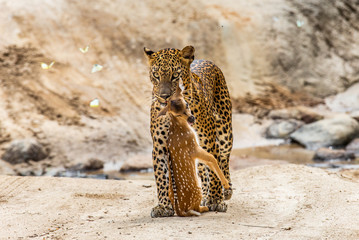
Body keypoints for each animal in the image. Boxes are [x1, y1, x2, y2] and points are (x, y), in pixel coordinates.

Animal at [145, 45, 235, 218]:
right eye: (156, 75)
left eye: (175, 75)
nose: (164, 96)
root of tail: (206, 60)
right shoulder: (159, 145)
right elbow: (161, 176)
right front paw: (163, 206)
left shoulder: (207, 139)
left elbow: (214, 171)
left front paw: (216, 200)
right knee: (202, 168)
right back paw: (205, 195)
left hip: (225, 132)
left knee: (223, 159)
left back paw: (225, 190)